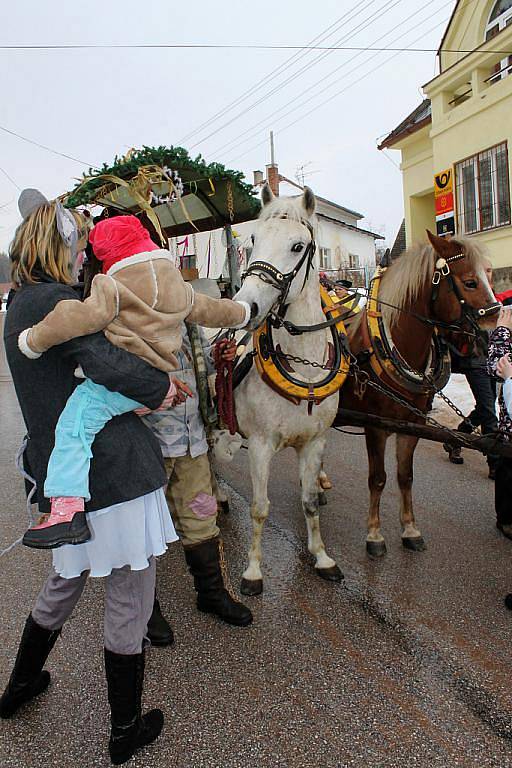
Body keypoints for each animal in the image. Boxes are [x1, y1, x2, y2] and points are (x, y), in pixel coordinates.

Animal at [232, 184, 344, 592]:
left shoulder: (314, 442)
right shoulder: (260, 446)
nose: (246, 306)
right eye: (253, 241)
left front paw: (322, 557)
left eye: (298, 246)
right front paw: (252, 570)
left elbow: (309, 501)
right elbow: (259, 508)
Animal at [338, 230, 498, 560]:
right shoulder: (375, 426)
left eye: (490, 275)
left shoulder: (413, 425)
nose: (493, 330)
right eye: (469, 282)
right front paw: (374, 535)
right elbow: (378, 478)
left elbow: (405, 476)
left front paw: (410, 529)